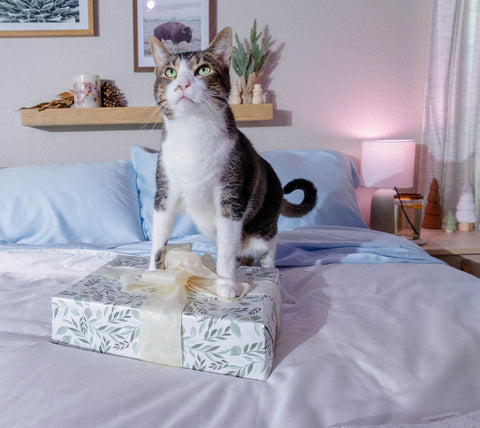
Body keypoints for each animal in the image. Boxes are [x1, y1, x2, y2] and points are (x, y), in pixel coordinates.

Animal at [148, 27, 316, 298]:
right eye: (170, 72)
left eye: (203, 69)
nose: (183, 84)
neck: (191, 134)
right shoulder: (164, 191)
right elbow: (158, 238)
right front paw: (153, 274)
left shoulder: (231, 196)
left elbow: (226, 248)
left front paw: (226, 284)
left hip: (264, 231)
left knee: (265, 253)